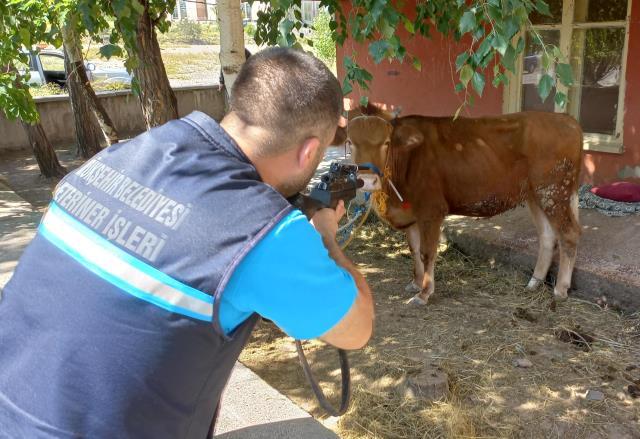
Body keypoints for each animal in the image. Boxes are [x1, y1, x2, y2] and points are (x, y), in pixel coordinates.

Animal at [342, 107, 584, 306]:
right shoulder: (410, 214)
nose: (367, 180)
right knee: (548, 236)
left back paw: (560, 290)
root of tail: (566, 119)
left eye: (386, 142)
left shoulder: (431, 210)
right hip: (537, 195)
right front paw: (416, 282)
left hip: (554, 191)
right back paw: (534, 282)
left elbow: (427, 252)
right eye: (350, 142)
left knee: (569, 234)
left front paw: (424, 293)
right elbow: (414, 249)